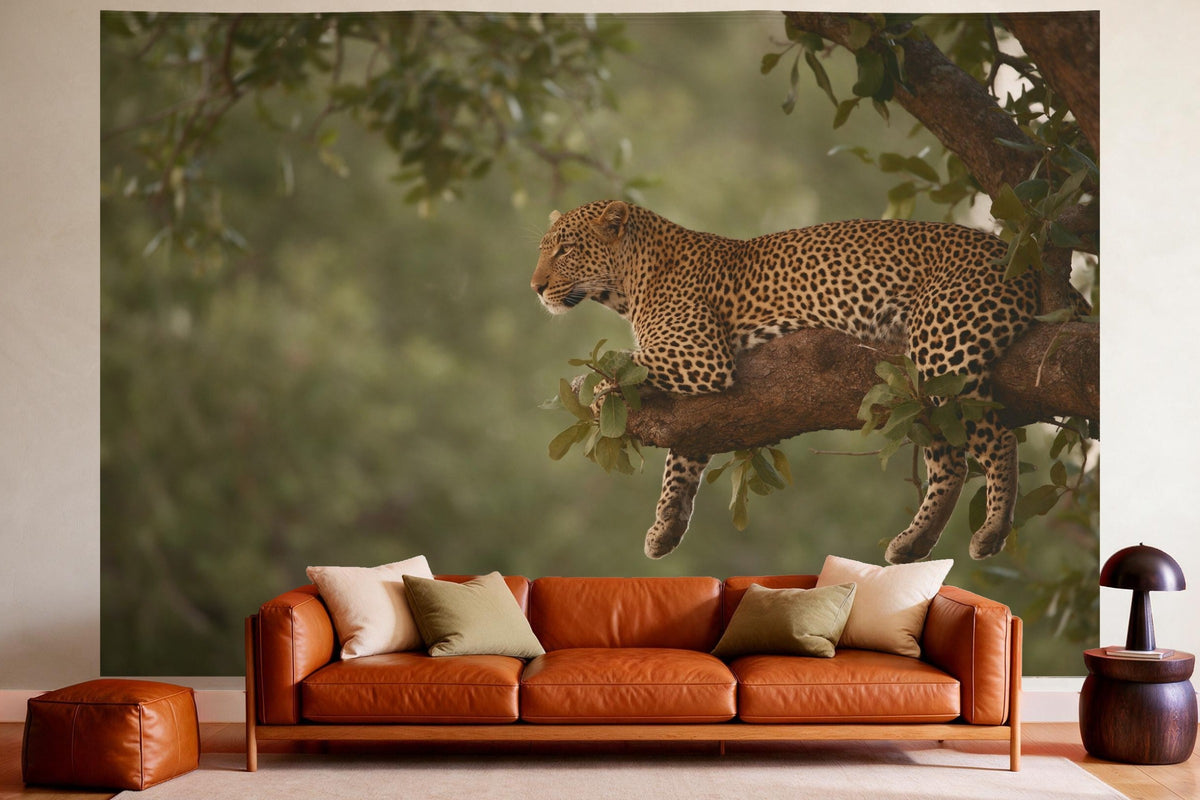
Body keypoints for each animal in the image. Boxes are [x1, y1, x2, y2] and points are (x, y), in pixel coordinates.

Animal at [532, 199, 1064, 564]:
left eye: (565, 249)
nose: (535, 287)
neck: (629, 284)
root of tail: (1018, 253)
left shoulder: (700, 353)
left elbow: (613, 370)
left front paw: (590, 388)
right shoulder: (698, 406)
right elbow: (682, 458)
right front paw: (666, 525)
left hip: (944, 349)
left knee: (995, 439)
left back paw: (992, 530)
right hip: (921, 380)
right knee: (950, 458)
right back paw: (914, 542)